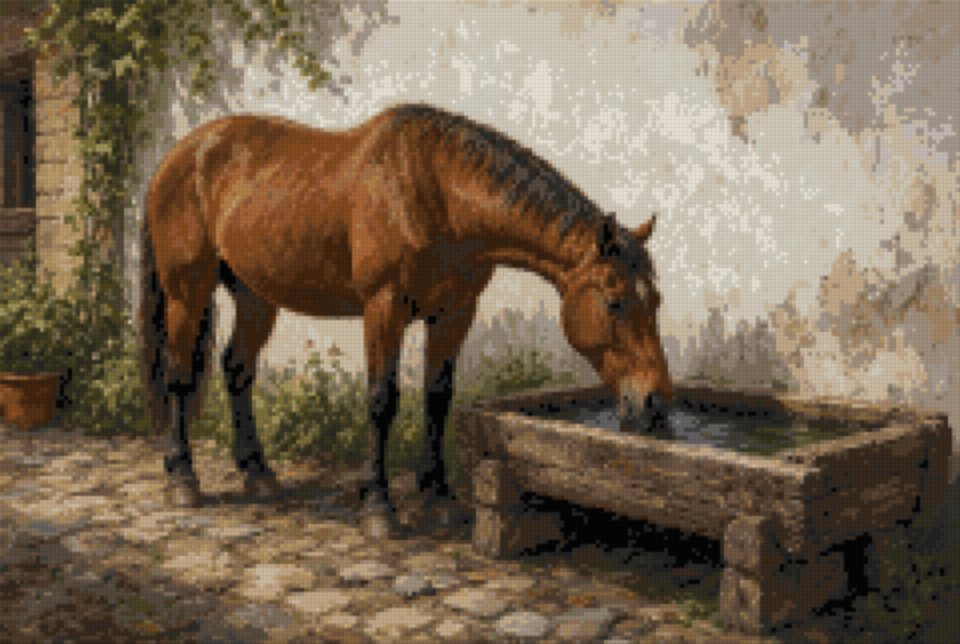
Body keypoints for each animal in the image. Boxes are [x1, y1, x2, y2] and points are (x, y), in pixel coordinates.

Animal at [139, 103, 673, 538]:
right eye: (615, 302)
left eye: (657, 300)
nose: (655, 402)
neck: (436, 192)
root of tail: (179, 154)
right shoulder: (384, 306)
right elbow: (383, 399)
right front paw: (378, 506)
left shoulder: (455, 312)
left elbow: (437, 399)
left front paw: (438, 497)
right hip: (187, 291)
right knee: (179, 374)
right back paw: (183, 477)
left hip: (255, 296)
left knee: (237, 370)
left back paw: (257, 473)